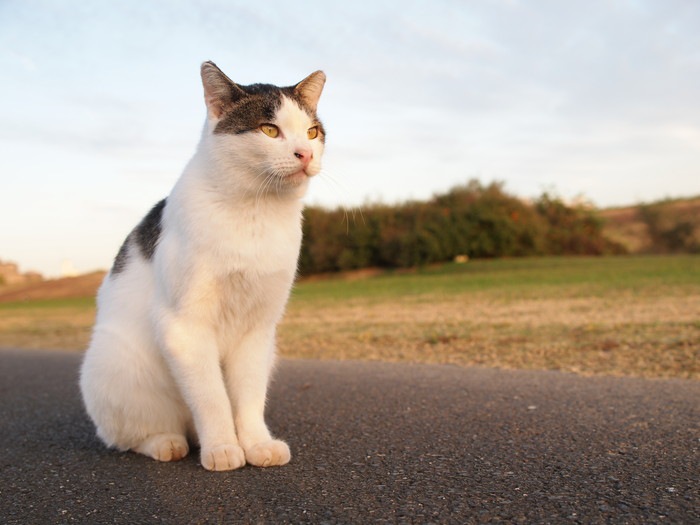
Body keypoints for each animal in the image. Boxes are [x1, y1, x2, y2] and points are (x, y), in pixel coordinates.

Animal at [78, 62, 326, 470]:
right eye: (269, 129)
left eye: (312, 132)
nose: (305, 154)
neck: (256, 212)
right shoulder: (185, 327)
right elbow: (212, 399)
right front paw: (224, 448)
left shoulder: (257, 330)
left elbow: (248, 397)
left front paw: (256, 444)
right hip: (112, 365)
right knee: (127, 436)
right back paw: (167, 443)